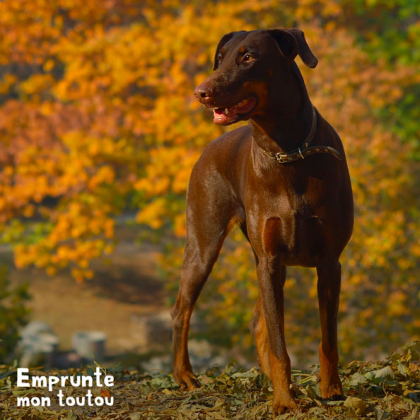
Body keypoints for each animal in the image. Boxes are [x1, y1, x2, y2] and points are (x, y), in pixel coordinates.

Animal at [169, 27, 352, 416]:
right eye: (220, 57)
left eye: (248, 56)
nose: (200, 92)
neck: (287, 151)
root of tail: (207, 151)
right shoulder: (269, 260)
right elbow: (280, 344)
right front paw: (283, 401)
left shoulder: (329, 262)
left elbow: (327, 338)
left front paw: (330, 390)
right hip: (204, 242)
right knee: (181, 310)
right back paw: (184, 376)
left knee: (257, 322)